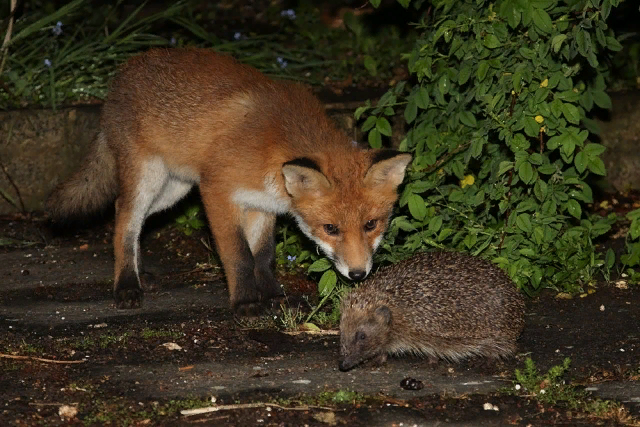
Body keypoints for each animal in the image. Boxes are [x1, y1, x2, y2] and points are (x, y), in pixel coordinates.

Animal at [47, 48, 412, 316]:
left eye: (371, 224)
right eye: (330, 228)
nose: (358, 274)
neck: (272, 146)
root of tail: (122, 72)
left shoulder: (262, 203)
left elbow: (263, 256)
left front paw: (273, 295)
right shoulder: (218, 191)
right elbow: (239, 256)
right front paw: (247, 302)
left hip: (175, 189)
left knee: (135, 220)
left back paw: (141, 274)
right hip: (149, 177)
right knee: (124, 217)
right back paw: (126, 285)